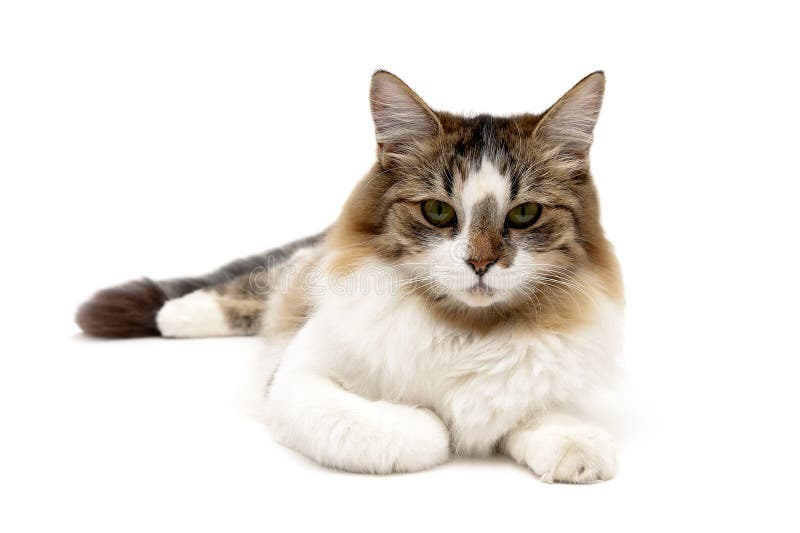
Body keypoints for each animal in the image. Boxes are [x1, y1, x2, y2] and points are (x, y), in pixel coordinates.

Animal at [76, 69, 624, 482]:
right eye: (438, 213)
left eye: (525, 214)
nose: (481, 263)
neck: (466, 328)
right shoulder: (296, 378)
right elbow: (414, 433)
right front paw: (433, 423)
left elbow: (538, 416)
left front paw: (576, 447)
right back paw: (177, 312)